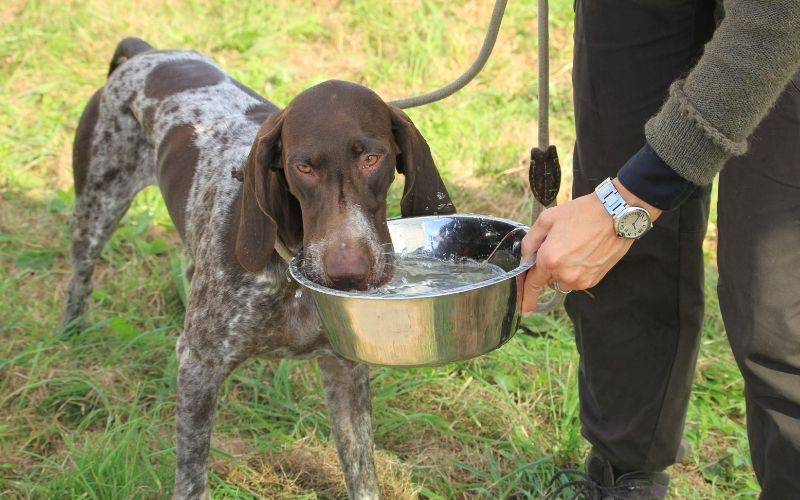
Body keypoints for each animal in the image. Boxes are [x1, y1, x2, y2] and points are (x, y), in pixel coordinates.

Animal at [63, 38, 456, 500]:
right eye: (303, 167)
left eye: (372, 159)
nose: (348, 273)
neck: (293, 272)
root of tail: (146, 51)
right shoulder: (200, 367)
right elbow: (192, 478)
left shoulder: (346, 369)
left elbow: (362, 473)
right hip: (96, 209)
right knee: (80, 277)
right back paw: (72, 334)